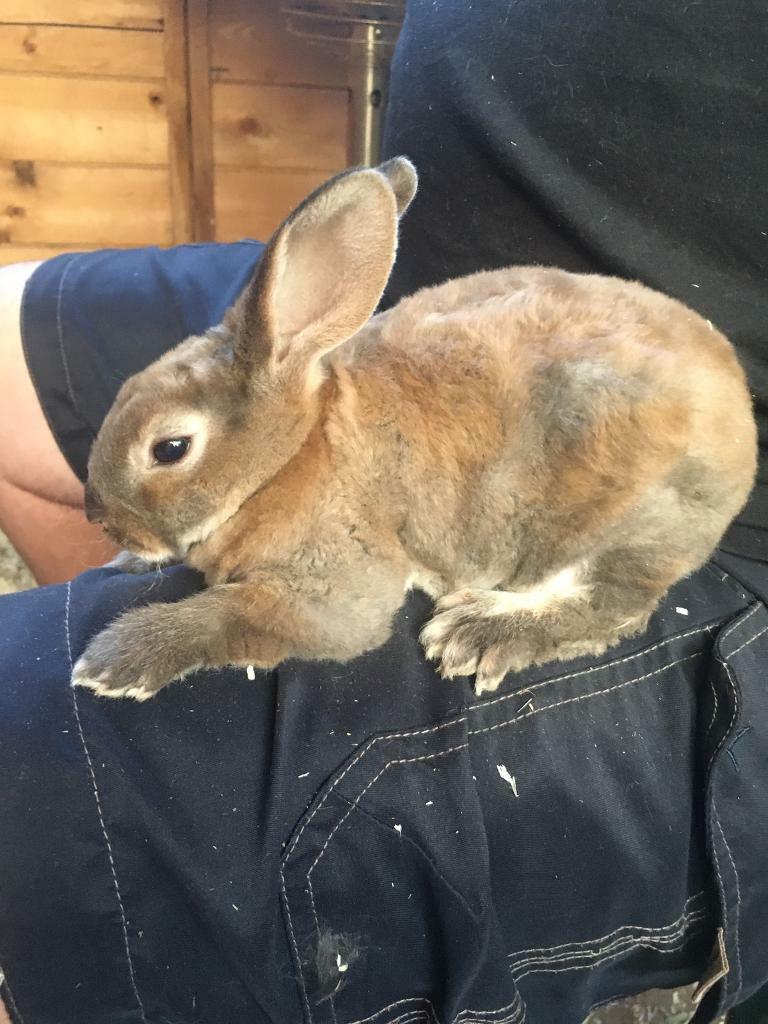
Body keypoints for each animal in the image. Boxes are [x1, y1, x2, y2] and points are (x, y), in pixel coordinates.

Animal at [72, 156, 757, 702]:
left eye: (170, 448)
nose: (96, 514)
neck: (285, 460)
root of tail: (741, 421)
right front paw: (124, 566)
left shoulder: (330, 588)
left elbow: (231, 616)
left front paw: (115, 662)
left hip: (620, 526)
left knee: (613, 609)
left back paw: (477, 632)